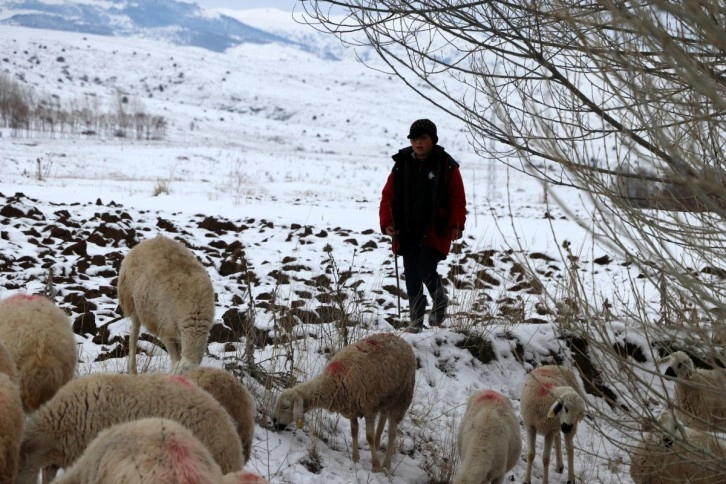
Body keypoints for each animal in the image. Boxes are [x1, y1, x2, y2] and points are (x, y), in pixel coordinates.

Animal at [118, 234, 216, 374]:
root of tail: (152, 239)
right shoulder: (166, 332)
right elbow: (175, 359)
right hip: (132, 302)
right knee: (133, 337)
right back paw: (132, 370)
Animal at [272, 332, 418, 472]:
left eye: (285, 407)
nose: (274, 421)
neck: (333, 381)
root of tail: (401, 340)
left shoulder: (368, 408)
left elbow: (369, 436)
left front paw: (376, 467)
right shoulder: (352, 406)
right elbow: (354, 431)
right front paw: (355, 458)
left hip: (402, 396)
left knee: (392, 432)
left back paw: (386, 465)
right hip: (385, 396)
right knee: (383, 417)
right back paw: (377, 446)